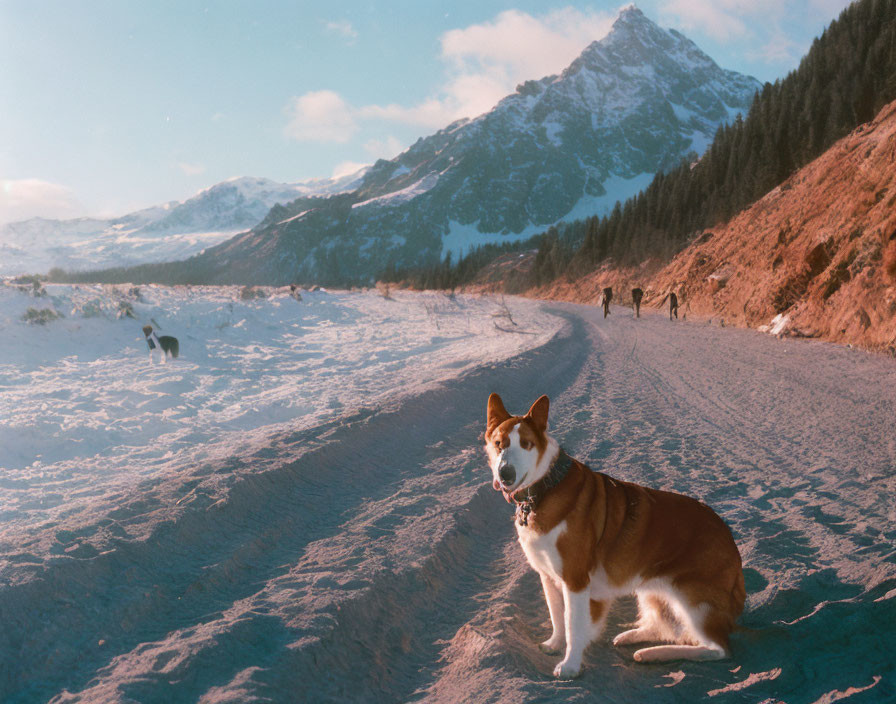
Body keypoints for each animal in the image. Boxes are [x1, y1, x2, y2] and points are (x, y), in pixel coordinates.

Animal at [486, 394, 744, 680]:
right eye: (499, 444)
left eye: (526, 445)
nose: (505, 473)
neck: (545, 487)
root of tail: (731, 544)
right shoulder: (548, 576)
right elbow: (557, 617)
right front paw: (555, 643)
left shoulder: (575, 580)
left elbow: (573, 625)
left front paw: (570, 665)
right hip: (650, 587)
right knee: (663, 626)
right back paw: (637, 642)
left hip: (691, 597)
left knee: (717, 648)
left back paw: (656, 654)